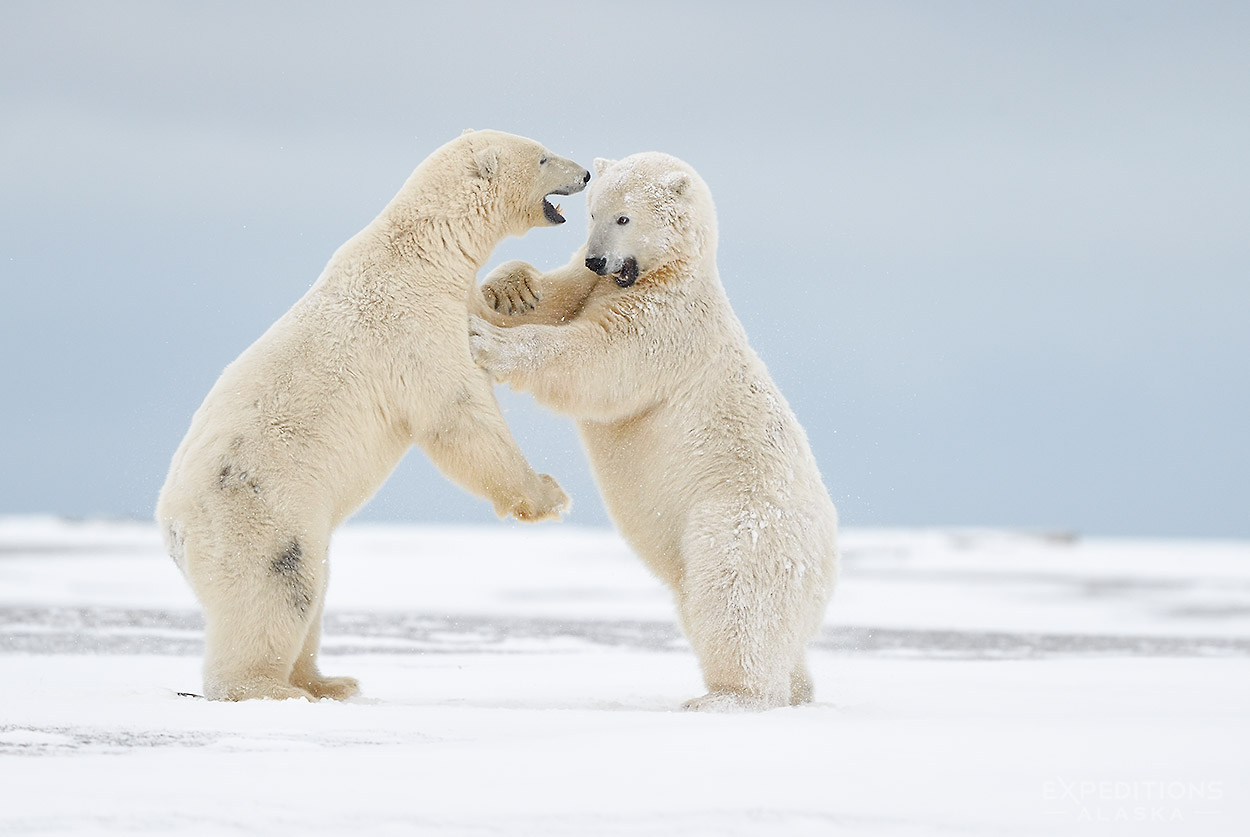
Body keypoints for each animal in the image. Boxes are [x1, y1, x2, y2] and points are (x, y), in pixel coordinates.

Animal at [157, 131, 590, 704]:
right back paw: (272, 688)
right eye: (543, 156)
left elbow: (493, 323)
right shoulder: (411, 325)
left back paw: (329, 681)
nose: (586, 174)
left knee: (315, 587)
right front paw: (548, 495)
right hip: (257, 513)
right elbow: (459, 414)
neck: (422, 252)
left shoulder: (449, 298)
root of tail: (172, 528)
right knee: (280, 589)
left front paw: (516, 290)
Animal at [470, 154, 840, 709]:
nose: (596, 259)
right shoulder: (590, 289)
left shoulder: (668, 325)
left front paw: (488, 341)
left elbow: (596, 360)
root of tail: (829, 560)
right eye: (593, 212)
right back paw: (797, 690)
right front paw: (512, 290)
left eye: (624, 218)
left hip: (740, 521)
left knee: (733, 600)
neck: (661, 274)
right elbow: (551, 296)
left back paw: (727, 698)